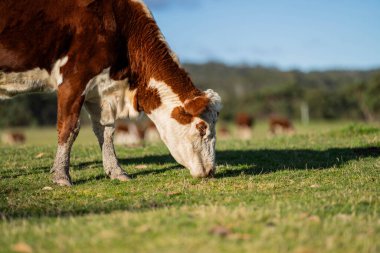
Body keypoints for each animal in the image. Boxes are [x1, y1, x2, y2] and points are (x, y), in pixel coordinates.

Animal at [0, 0, 221, 186]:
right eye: (202, 128)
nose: (211, 170)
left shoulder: (101, 90)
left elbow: (105, 131)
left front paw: (116, 171)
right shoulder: (73, 79)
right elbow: (69, 127)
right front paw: (61, 176)